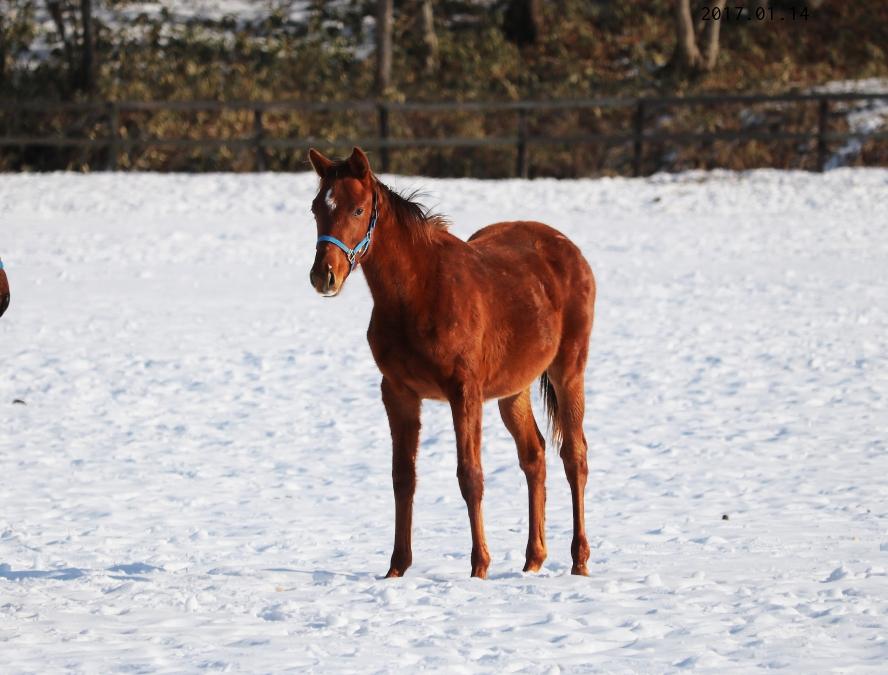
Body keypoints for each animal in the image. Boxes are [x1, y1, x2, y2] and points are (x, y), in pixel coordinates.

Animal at [307, 147, 596, 578]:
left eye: (357, 209)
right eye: (316, 209)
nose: (323, 275)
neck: (419, 292)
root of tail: (569, 250)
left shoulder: (464, 392)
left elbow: (470, 476)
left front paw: (479, 568)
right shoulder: (398, 393)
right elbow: (403, 477)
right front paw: (396, 569)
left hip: (568, 372)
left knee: (574, 456)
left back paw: (579, 562)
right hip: (514, 390)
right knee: (534, 456)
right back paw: (532, 560)